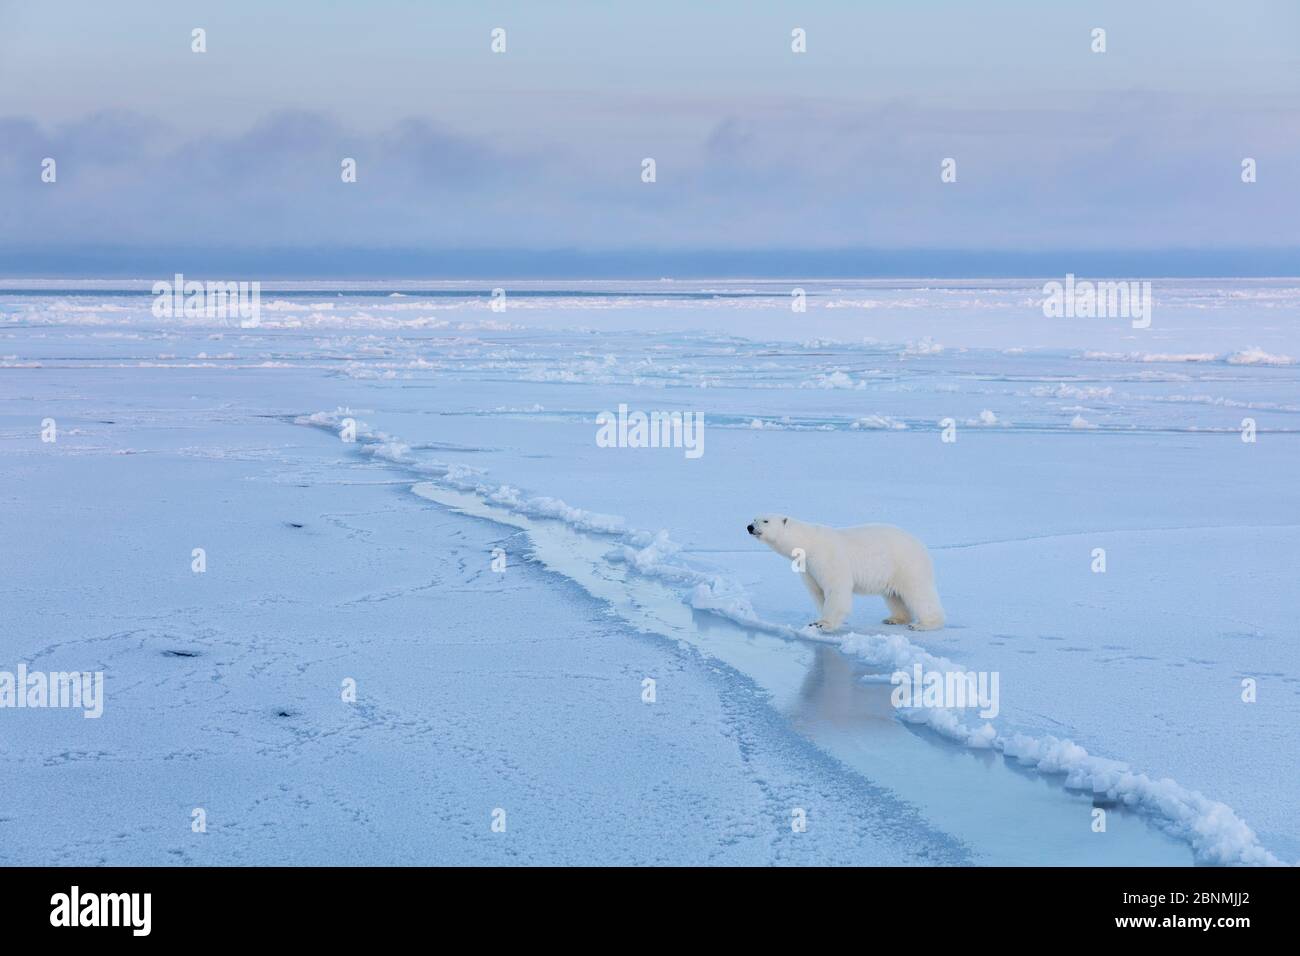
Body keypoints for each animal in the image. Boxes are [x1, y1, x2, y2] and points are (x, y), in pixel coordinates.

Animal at [746, 514, 945, 632]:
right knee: (894, 595)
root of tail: (921, 545)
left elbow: (835, 588)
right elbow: (817, 592)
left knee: (918, 593)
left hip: (906, 565)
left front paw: (822, 624)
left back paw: (924, 624)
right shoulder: (808, 568)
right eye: (755, 518)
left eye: (765, 521)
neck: (808, 543)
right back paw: (894, 619)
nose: (749, 527)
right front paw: (818, 619)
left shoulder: (827, 558)